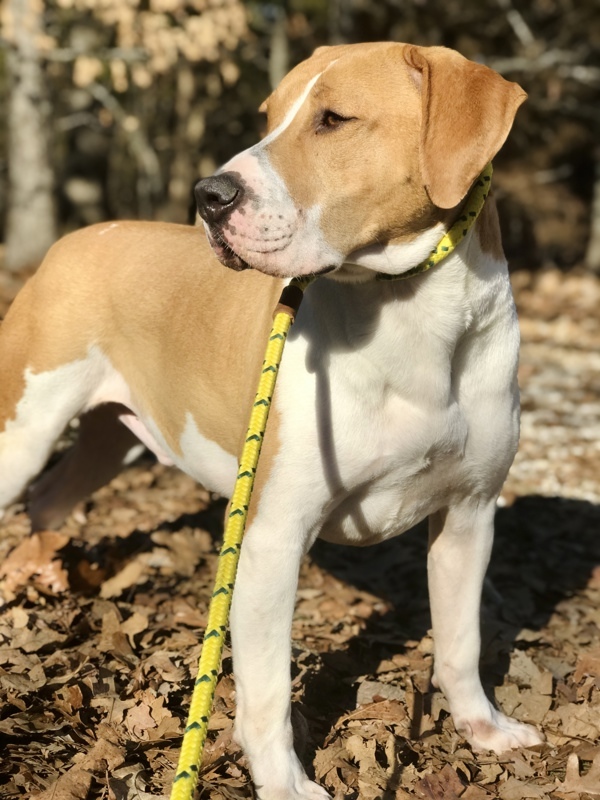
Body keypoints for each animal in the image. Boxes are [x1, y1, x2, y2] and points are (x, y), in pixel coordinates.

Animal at [1, 42, 544, 800]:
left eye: (334, 119)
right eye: (267, 116)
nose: (209, 195)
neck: (412, 318)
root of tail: (74, 238)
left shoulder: (469, 514)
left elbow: (461, 640)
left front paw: (484, 728)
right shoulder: (271, 539)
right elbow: (264, 689)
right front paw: (284, 783)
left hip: (114, 437)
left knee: (52, 495)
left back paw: (46, 571)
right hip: (24, 428)